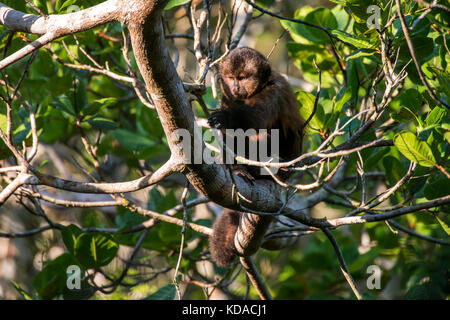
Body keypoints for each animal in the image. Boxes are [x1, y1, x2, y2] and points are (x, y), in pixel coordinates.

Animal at [207, 47, 306, 268]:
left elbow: (253, 120)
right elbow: (229, 134)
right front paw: (235, 167)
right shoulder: (227, 94)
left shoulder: (275, 90)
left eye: (243, 78)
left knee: (266, 134)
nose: (236, 87)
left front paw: (228, 117)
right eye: (231, 78)